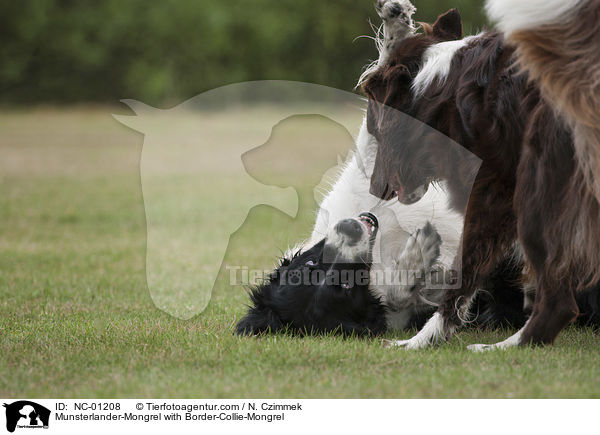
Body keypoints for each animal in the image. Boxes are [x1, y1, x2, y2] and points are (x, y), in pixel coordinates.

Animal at [360, 0, 600, 350]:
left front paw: (424, 338)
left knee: (560, 304)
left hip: (536, 195)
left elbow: (465, 271)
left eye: (375, 128)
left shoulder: (492, 191)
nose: (375, 189)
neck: (444, 89)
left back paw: (503, 346)